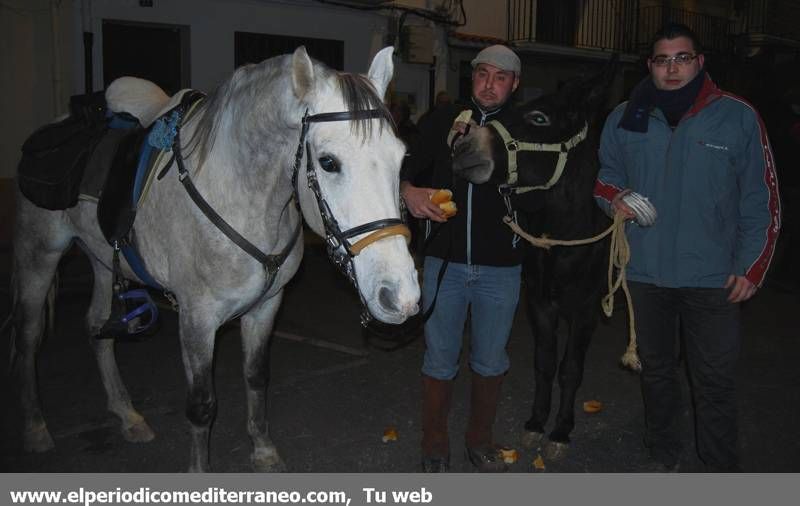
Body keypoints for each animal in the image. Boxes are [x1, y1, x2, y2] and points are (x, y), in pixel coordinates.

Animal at [10, 46, 418, 470]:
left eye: (401, 159)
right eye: (328, 162)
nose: (400, 296)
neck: (241, 195)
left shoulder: (266, 307)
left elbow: (256, 377)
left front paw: (263, 450)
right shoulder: (197, 320)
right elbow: (201, 406)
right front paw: (200, 468)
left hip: (103, 259)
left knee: (96, 326)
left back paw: (127, 415)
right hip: (39, 253)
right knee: (28, 335)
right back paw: (36, 428)